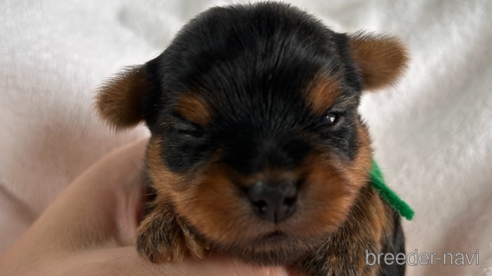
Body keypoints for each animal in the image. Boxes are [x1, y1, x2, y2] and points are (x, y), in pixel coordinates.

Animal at [95, 2, 408, 276]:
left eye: (330, 118)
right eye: (190, 131)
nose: (274, 194)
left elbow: (372, 190)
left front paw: (344, 242)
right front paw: (169, 219)